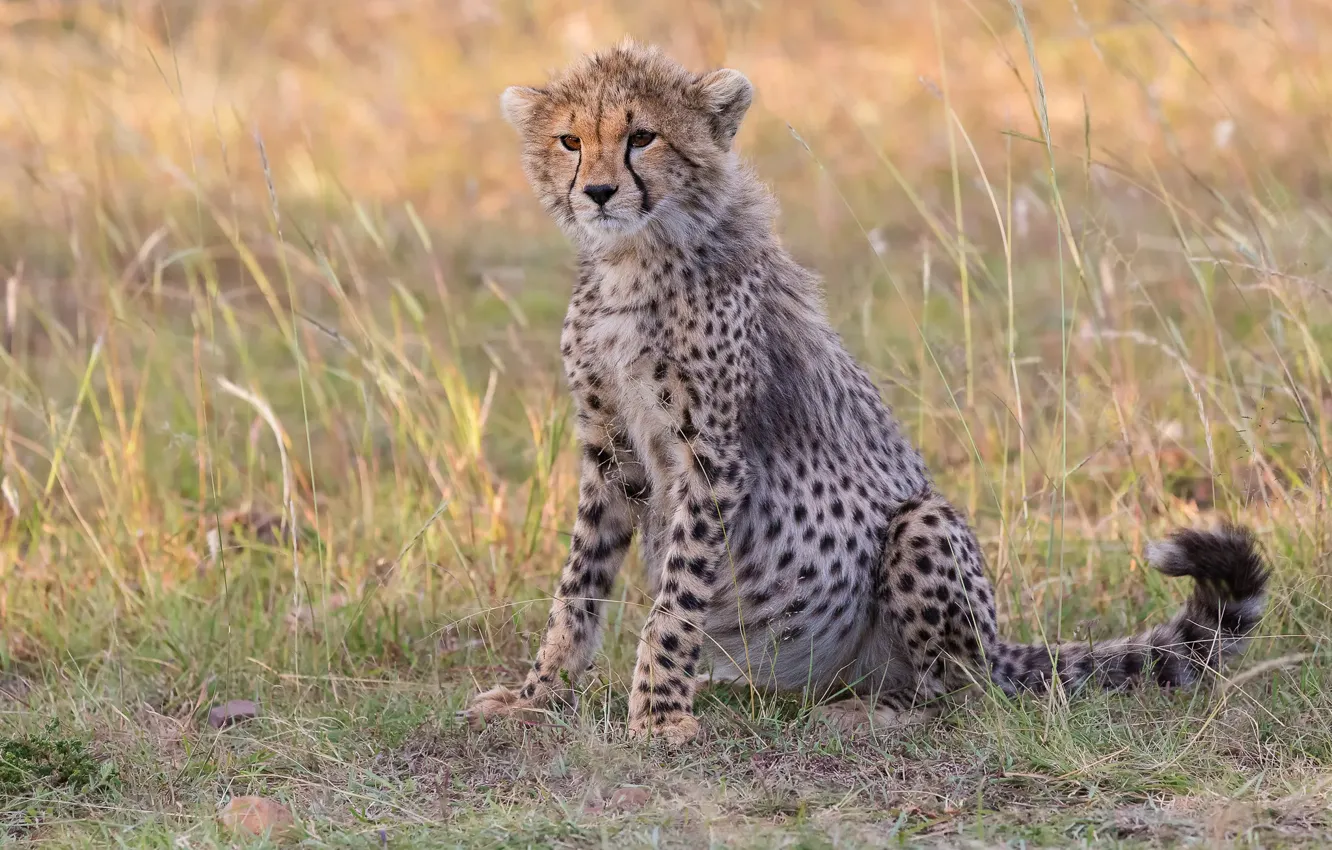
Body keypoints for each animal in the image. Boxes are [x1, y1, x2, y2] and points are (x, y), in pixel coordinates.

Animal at [461, 39, 1271, 745]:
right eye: (570, 140)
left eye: (642, 137)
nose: (598, 192)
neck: (632, 259)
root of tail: (998, 645)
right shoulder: (613, 453)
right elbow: (577, 586)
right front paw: (537, 694)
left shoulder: (712, 459)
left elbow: (675, 600)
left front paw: (658, 713)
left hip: (925, 527)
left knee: (960, 693)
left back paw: (873, 712)